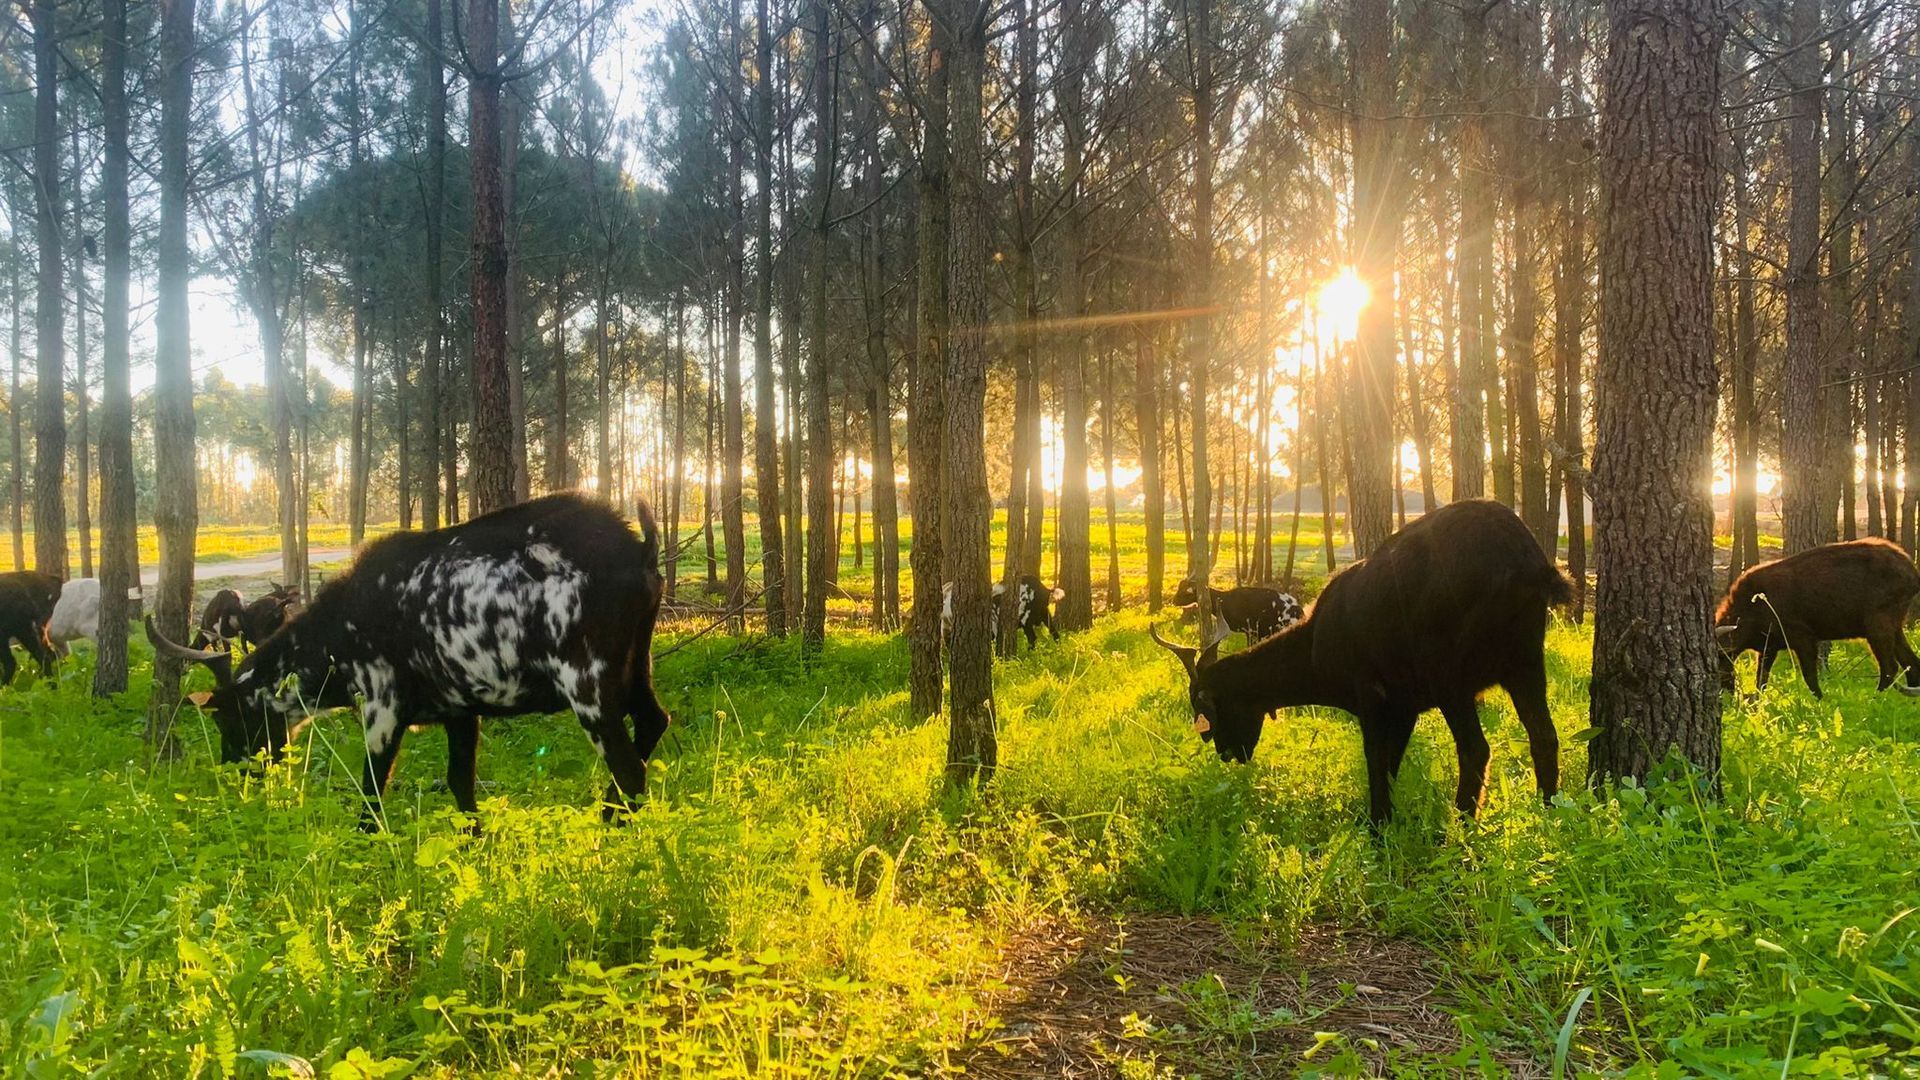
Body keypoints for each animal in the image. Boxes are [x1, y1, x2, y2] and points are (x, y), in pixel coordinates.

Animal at [144, 491, 668, 826]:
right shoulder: (461, 710)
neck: (343, 627)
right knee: (654, 723)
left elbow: (371, 798)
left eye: (229, 715)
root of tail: (641, 549)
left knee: (629, 769)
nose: (236, 769)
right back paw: (608, 815)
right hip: (635, 668)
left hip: (588, 683)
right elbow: (461, 787)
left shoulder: (383, 705)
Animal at [1712, 534, 1920, 691]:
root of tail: (1913, 573)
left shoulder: (1803, 638)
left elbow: (1810, 678)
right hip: (1894, 626)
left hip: (1878, 625)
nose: (1725, 691)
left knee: (1890, 666)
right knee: (1910, 662)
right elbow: (1761, 681)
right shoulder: (1768, 647)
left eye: (1720, 658)